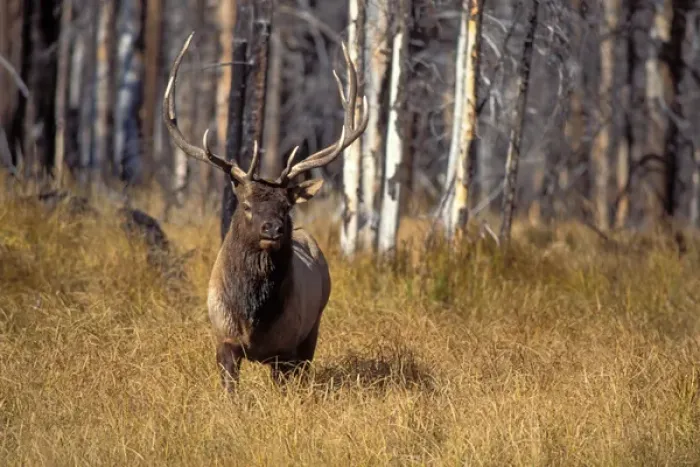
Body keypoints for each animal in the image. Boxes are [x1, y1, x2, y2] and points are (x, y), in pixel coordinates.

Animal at [163, 32, 368, 391]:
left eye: (286, 206)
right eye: (246, 205)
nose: (272, 228)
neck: (253, 319)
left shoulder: (285, 348)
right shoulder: (224, 340)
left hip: (313, 328)